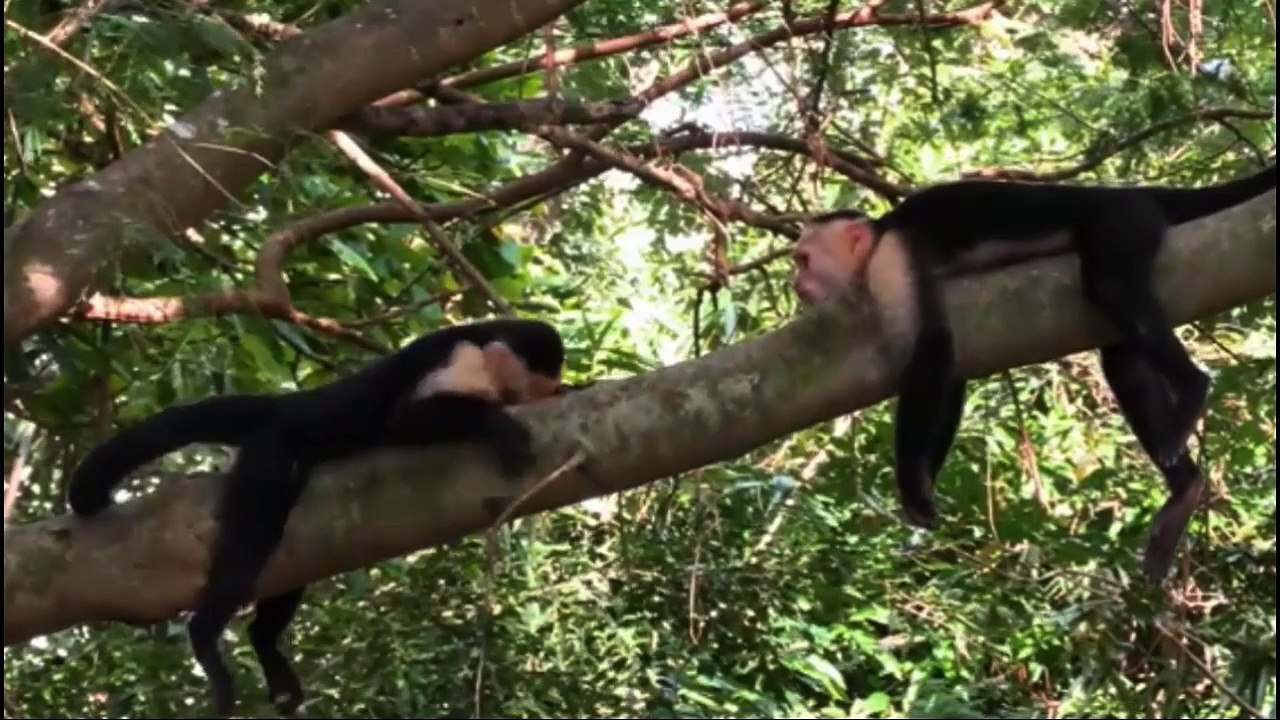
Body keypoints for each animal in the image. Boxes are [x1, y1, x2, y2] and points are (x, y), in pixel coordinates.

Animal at [65, 317, 586, 716]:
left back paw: (264, 643)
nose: (544, 393)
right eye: (531, 384)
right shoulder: (460, 357)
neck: (485, 341)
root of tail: (288, 405)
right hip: (272, 447)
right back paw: (206, 637)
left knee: (293, 551)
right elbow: (404, 419)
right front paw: (499, 422)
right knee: (256, 531)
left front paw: (576, 387)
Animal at [790, 162, 1276, 582]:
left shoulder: (890, 259)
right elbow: (951, 369)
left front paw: (912, 486)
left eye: (803, 260)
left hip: (1124, 220)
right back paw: (1184, 490)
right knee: (1122, 359)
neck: (880, 237)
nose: (795, 286)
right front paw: (927, 482)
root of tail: (1128, 193)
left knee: (1111, 286)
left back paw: (1193, 387)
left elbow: (932, 346)